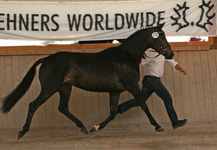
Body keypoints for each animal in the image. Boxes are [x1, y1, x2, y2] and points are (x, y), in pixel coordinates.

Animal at [0, 24, 173, 139]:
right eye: (161, 35)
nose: (170, 54)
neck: (126, 56)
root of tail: (47, 59)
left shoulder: (114, 91)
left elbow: (113, 111)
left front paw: (95, 127)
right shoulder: (133, 87)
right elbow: (143, 104)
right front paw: (158, 126)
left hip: (65, 88)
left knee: (63, 107)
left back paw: (82, 127)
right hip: (50, 88)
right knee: (33, 105)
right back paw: (22, 131)